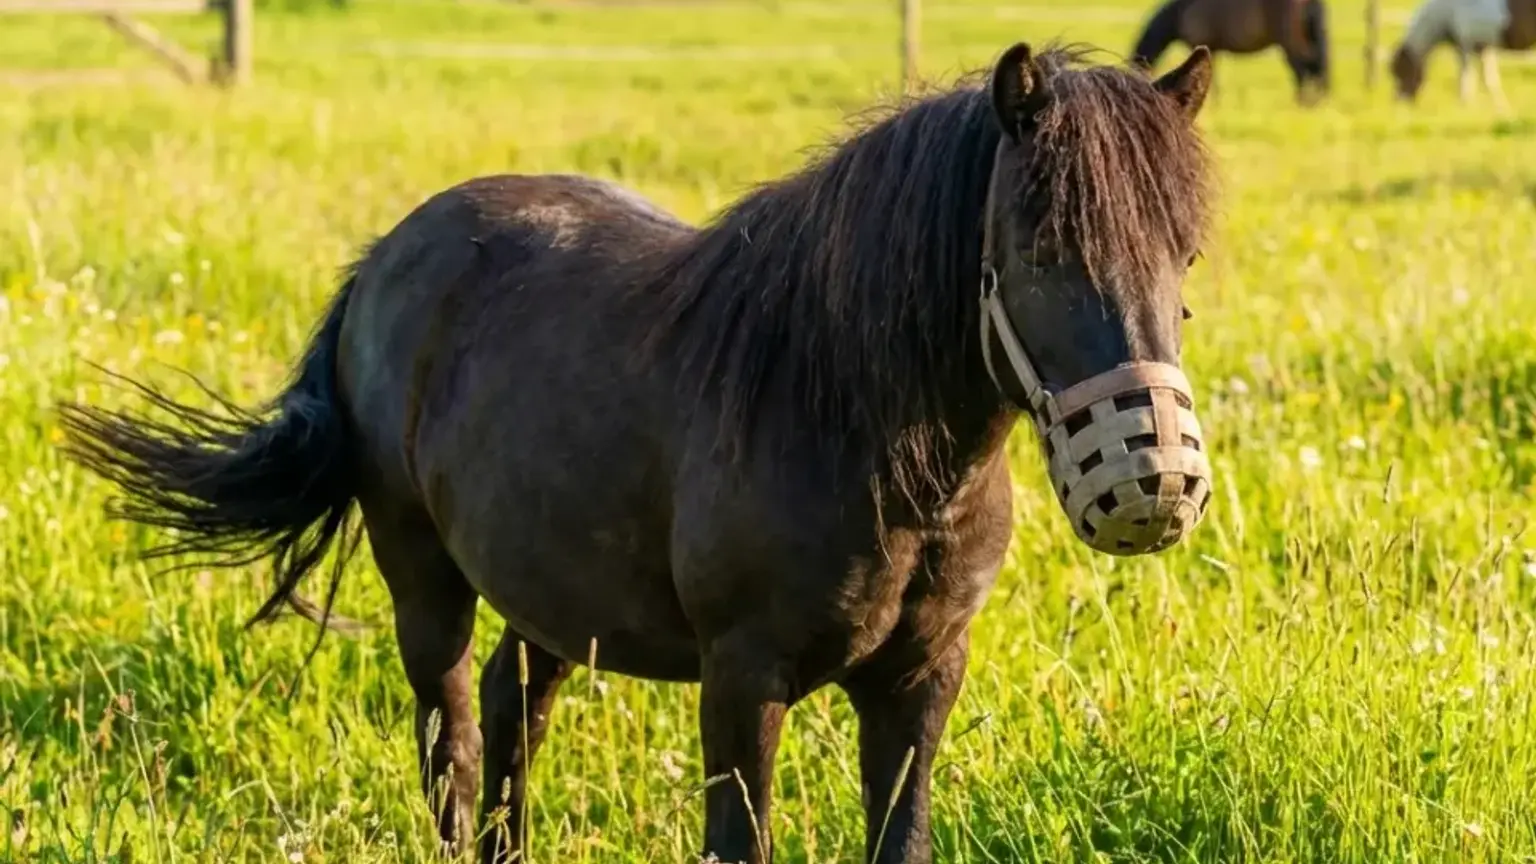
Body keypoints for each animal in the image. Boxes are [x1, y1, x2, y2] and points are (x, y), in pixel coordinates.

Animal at [56, 43, 1218, 864]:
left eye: (1184, 252)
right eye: (1039, 247)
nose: (1154, 481)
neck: (856, 432)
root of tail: (386, 256)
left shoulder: (922, 679)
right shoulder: (742, 682)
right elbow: (735, 844)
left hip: (555, 595)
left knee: (510, 714)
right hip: (421, 575)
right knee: (453, 737)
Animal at [1132, 0, 1330, 105]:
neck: (1182, 12)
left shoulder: (1205, 46)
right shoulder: (1214, 49)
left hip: (1289, 41)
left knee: (1302, 69)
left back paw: (1302, 102)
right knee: (1314, 67)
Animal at [1390, 0, 1536, 114]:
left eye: (1401, 71)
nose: (1400, 104)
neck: (1449, 11)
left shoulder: (1466, 46)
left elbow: (1466, 77)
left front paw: (1465, 106)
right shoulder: (1483, 48)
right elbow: (1490, 80)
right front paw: (1501, 109)